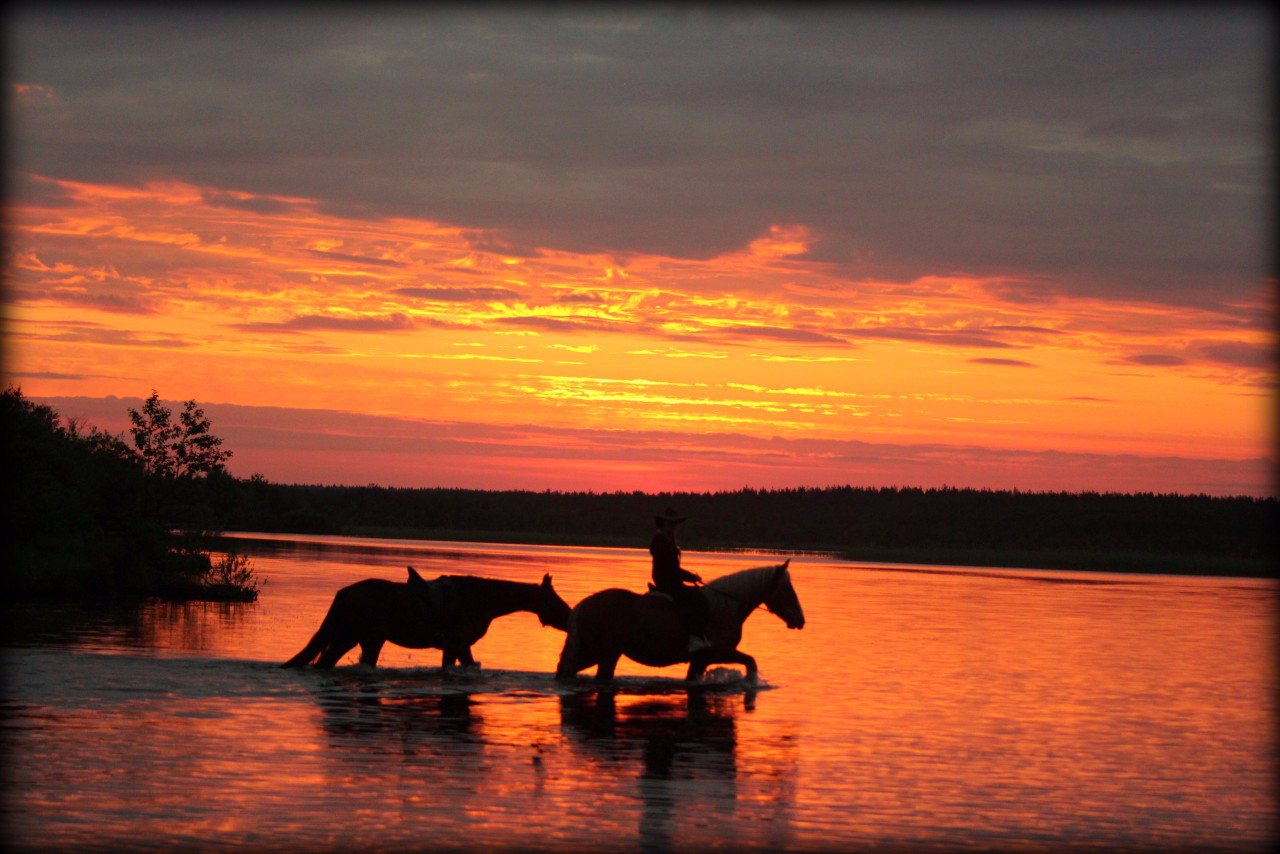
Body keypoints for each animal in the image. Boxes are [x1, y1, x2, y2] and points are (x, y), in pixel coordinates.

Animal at [290, 568, 576, 676]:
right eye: (555, 600)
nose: (570, 617)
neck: (481, 599)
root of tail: (346, 592)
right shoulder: (458, 645)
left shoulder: (456, 647)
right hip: (368, 640)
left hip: (349, 637)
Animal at [555, 560, 803, 681]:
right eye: (786, 588)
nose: (800, 619)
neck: (725, 607)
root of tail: (584, 605)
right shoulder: (719, 653)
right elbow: (751, 662)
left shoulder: (700, 661)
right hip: (606, 657)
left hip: (590, 653)